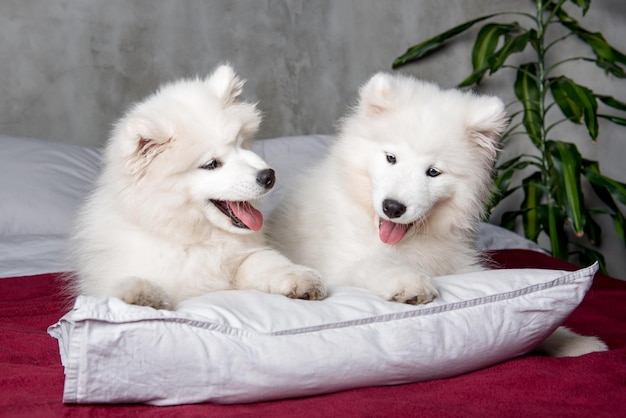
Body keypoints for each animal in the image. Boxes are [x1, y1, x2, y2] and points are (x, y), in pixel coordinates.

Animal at [69, 63, 326, 308]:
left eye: (241, 145)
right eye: (211, 164)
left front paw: (300, 278)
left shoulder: (239, 262)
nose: (268, 176)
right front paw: (142, 295)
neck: (195, 241)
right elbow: (122, 285)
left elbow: (265, 261)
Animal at [266, 71, 604, 356]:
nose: (393, 207)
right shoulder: (342, 262)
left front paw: (576, 342)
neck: (408, 241)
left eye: (433, 172)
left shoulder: (463, 267)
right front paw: (410, 284)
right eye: (391, 158)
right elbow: (377, 265)